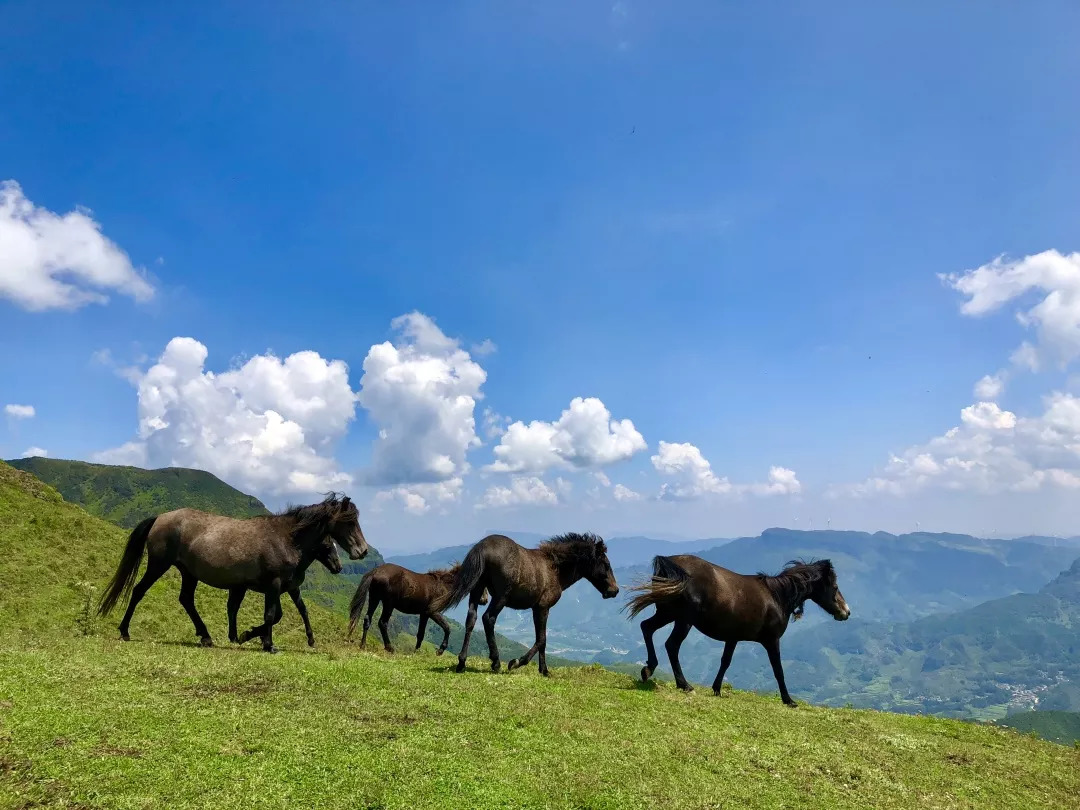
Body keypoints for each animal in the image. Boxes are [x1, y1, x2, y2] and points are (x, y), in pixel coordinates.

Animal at [98, 494, 367, 652]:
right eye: (349, 521)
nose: (362, 551)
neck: (286, 538)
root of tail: (160, 518)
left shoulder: (278, 588)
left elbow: (277, 615)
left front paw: (249, 635)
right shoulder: (274, 585)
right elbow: (271, 615)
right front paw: (267, 644)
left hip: (189, 573)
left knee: (186, 600)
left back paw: (206, 636)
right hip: (158, 565)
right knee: (139, 591)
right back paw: (124, 631)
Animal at [347, 565, 492, 656]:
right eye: (482, 580)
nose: (484, 600)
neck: (444, 585)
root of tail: (375, 571)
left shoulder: (424, 614)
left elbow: (420, 634)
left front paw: (416, 652)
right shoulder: (433, 612)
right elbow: (447, 628)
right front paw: (440, 650)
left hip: (374, 598)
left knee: (367, 619)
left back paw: (363, 645)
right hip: (388, 604)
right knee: (382, 623)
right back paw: (389, 647)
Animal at [436, 533, 617, 678]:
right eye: (606, 565)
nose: (614, 590)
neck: (554, 569)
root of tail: (482, 547)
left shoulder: (538, 609)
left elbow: (542, 640)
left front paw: (543, 670)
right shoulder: (542, 608)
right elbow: (541, 639)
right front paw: (517, 662)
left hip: (477, 590)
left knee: (471, 619)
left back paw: (461, 662)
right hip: (501, 596)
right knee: (488, 618)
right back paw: (496, 661)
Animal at [626, 557, 851, 708]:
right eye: (835, 586)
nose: (846, 612)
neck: (777, 596)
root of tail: (671, 563)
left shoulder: (732, 638)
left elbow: (725, 662)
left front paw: (716, 689)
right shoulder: (772, 640)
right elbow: (778, 670)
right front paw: (788, 700)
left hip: (667, 613)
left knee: (646, 627)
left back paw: (649, 669)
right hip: (683, 620)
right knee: (671, 645)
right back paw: (684, 684)